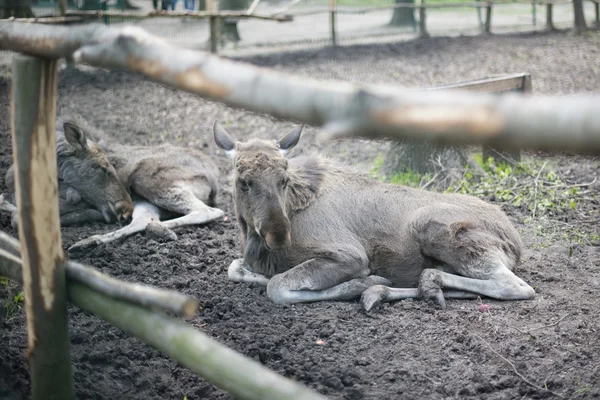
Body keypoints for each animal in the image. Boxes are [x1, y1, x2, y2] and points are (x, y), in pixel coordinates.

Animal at [2, 117, 223, 252]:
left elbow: (18, 218)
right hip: (146, 199)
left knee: (208, 211)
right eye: (103, 168)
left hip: (150, 181)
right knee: (142, 220)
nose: (123, 209)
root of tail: (214, 181)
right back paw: (88, 241)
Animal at [213, 122, 536, 312]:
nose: (278, 234)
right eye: (244, 181)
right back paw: (399, 289)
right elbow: (236, 268)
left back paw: (404, 285)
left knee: (515, 286)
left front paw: (359, 284)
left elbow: (277, 286)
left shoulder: (350, 255)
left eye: (284, 178)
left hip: (437, 230)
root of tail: (516, 242)